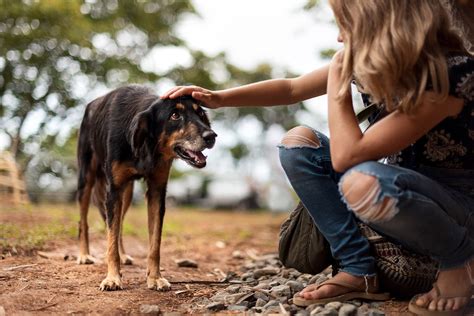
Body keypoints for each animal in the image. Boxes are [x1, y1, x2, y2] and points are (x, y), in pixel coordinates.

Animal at [76, 84, 217, 292]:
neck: (146, 146)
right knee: (84, 221)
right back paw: (84, 255)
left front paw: (155, 277)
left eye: (200, 113)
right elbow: (110, 241)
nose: (211, 136)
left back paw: (123, 255)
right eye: (175, 115)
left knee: (119, 225)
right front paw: (112, 278)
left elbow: (154, 244)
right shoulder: (114, 190)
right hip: (86, 179)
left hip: (127, 194)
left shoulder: (157, 191)